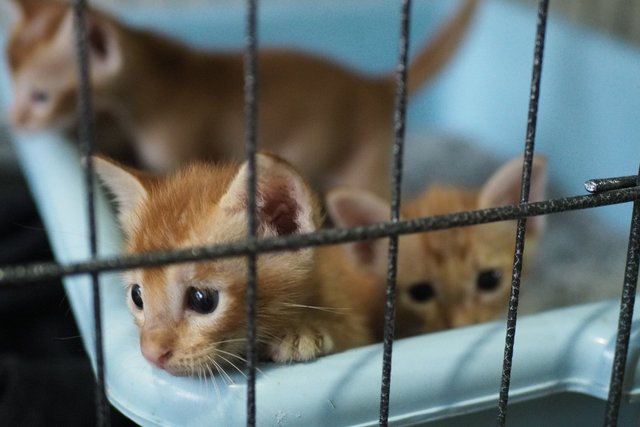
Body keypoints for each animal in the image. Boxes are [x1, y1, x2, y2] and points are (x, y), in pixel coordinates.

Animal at [7, 0, 478, 196]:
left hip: (363, 164)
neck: (164, 74)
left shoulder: (182, 152)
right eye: (10, 84)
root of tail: (372, 84)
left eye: (40, 97)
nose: (12, 123)